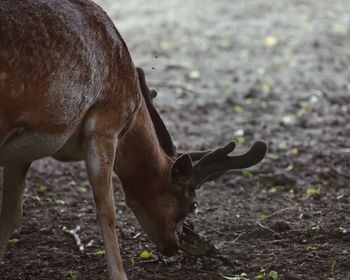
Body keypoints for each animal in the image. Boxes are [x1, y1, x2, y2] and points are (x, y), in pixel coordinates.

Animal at [0, 0, 268, 280]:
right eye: (192, 204)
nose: (176, 243)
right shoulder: (106, 126)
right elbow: (107, 210)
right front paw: (119, 274)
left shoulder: (25, 148)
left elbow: (11, 213)